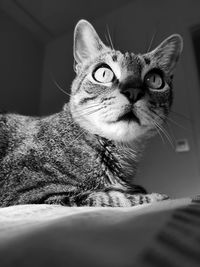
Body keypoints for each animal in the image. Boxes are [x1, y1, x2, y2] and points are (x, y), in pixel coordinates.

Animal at [0, 19, 183, 208]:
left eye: (155, 79)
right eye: (103, 73)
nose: (133, 91)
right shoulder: (29, 193)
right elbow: (110, 197)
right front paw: (155, 197)